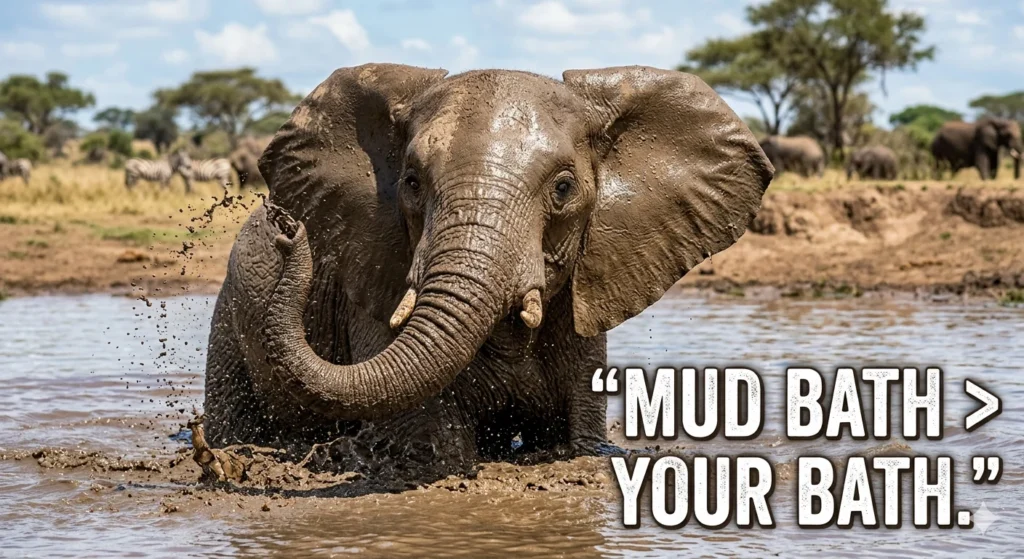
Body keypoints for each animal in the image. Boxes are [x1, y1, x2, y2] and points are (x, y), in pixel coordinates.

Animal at [201, 64, 773, 476]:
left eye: (564, 188)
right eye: (411, 182)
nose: (287, 229)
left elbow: (579, 428)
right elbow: (430, 432)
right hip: (229, 313)